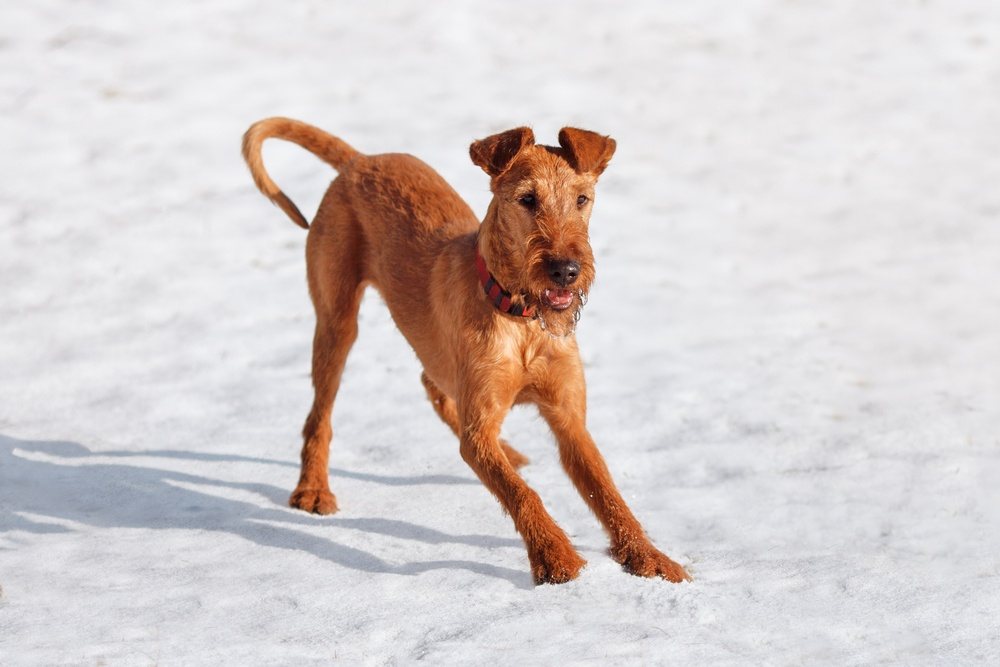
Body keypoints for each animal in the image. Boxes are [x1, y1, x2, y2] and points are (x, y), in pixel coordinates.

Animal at [242, 120, 692, 584]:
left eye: (582, 199)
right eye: (527, 200)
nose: (566, 271)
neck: (521, 319)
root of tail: (360, 160)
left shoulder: (569, 420)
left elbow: (607, 491)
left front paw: (647, 555)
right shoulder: (477, 437)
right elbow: (521, 493)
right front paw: (554, 556)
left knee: (432, 382)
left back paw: (509, 450)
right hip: (337, 322)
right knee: (320, 416)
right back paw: (312, 489)